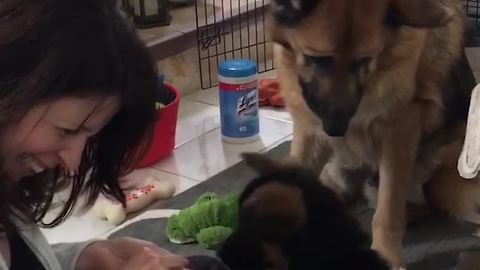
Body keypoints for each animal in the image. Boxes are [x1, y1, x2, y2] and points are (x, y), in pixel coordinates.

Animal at [268, 0, 480, 268]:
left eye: (365, 60)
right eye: (318, 59)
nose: (336, 130)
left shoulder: (398, 129)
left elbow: (388, 211)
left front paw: (386, 255)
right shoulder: (308, 125)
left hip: (438, 174)